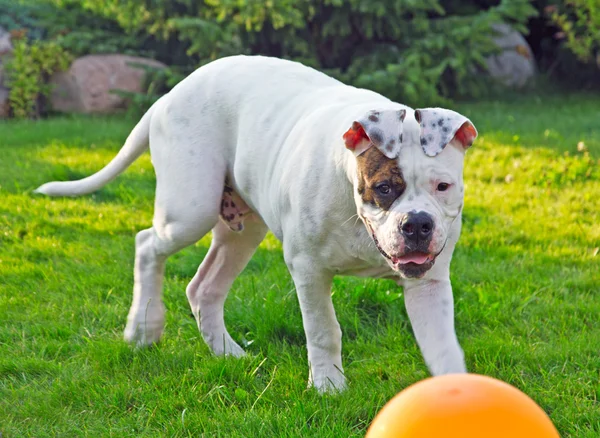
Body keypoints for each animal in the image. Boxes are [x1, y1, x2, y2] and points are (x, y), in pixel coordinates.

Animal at [36, 55, 478, 394]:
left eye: (443, 186)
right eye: (384, 188)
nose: (417, 225)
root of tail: (170, 94)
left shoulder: (429, 283)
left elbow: (443, 346)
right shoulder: (308, 270)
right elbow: (324, 330)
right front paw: (328, 387)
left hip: (243, 230)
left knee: (203, 288)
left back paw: (228, 354)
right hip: (190, 207)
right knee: (147, 244)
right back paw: (143, 328)